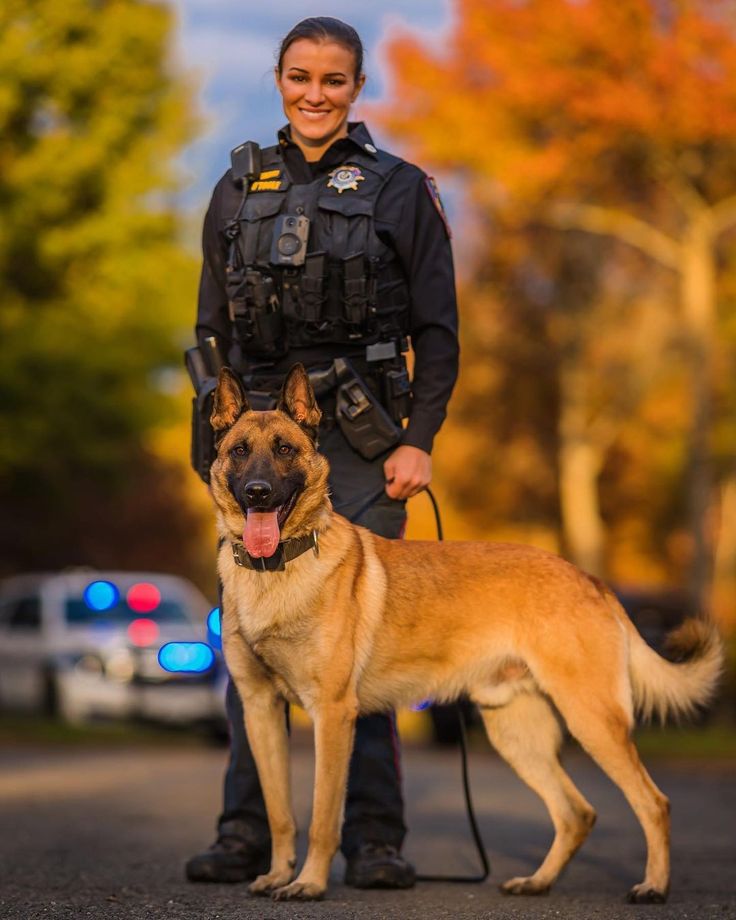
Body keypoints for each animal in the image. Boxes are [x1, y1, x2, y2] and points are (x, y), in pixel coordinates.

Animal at [208, 362, 724, 904]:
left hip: (593, 721)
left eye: (285, 449)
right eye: (239, 451)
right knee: (576, 812)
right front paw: (277, 875)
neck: (276, 571)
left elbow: (325, 815)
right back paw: (538, 881)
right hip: (516, 733)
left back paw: (654, 885)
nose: (258, 492)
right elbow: (280, 813)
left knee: (653, 802)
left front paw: (308, 882)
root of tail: (589, 579)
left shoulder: (332, 715)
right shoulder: (260, 710)